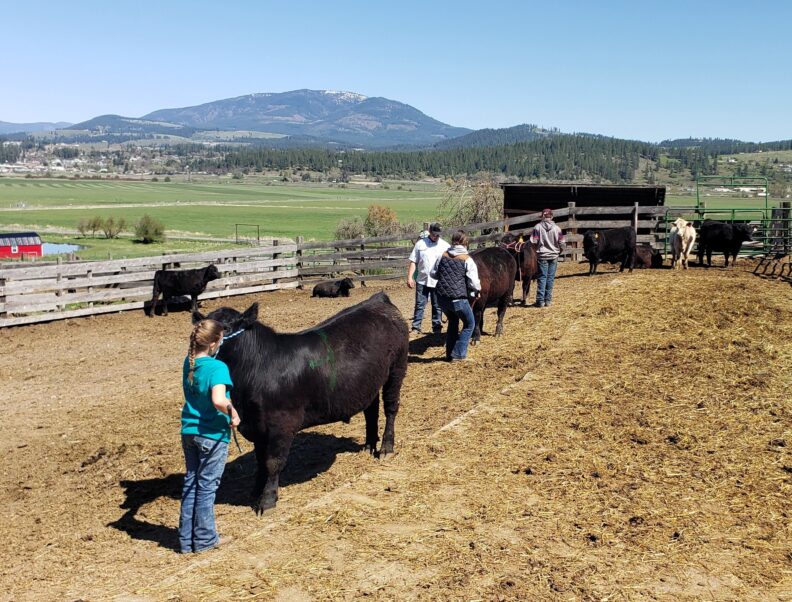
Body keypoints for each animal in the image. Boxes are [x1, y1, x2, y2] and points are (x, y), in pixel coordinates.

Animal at [195, 291, 408, 515]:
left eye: (226, 328)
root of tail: (377, 299)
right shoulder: (257, 426)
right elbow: (260, 461)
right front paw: (256, 490)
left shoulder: (281, 424)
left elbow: (272, 462)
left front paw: (267, 501)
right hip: (369, 380)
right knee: (371, 411)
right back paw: (369, 445)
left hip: (397, 367)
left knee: (390, 408)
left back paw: (386, 448)